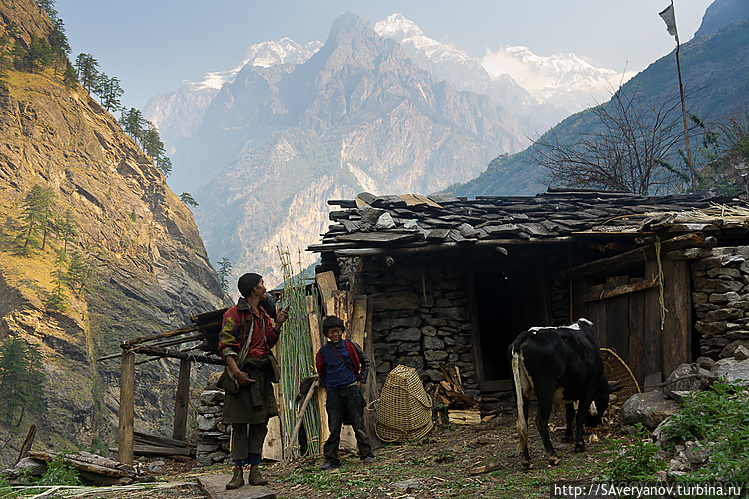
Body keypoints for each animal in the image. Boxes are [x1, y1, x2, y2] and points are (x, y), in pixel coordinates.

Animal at [508, 320, 612, 468]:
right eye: (604, 398)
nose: (594, 424)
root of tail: (527, 334)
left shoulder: (567, 393)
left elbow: (570, 414)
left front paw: (568, 437)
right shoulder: (589, 390)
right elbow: (579, 416)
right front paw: (579, 444)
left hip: (521, 391)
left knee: (523, 423)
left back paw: (526, 460)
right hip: (545, 391)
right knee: (540, 421)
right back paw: (553, 456)